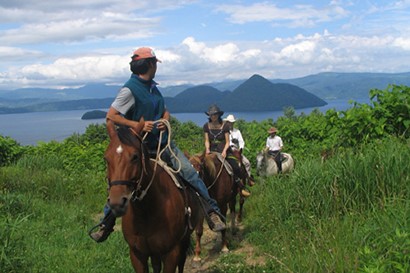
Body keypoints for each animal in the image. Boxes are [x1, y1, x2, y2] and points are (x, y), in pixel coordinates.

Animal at [105, 121, 202, 272]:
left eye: (135, 156)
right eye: (106, 158)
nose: (117, 203)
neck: (147, 211)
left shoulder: (171, 253)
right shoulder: (137, 254)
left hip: (184, 239)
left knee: (182, 261)